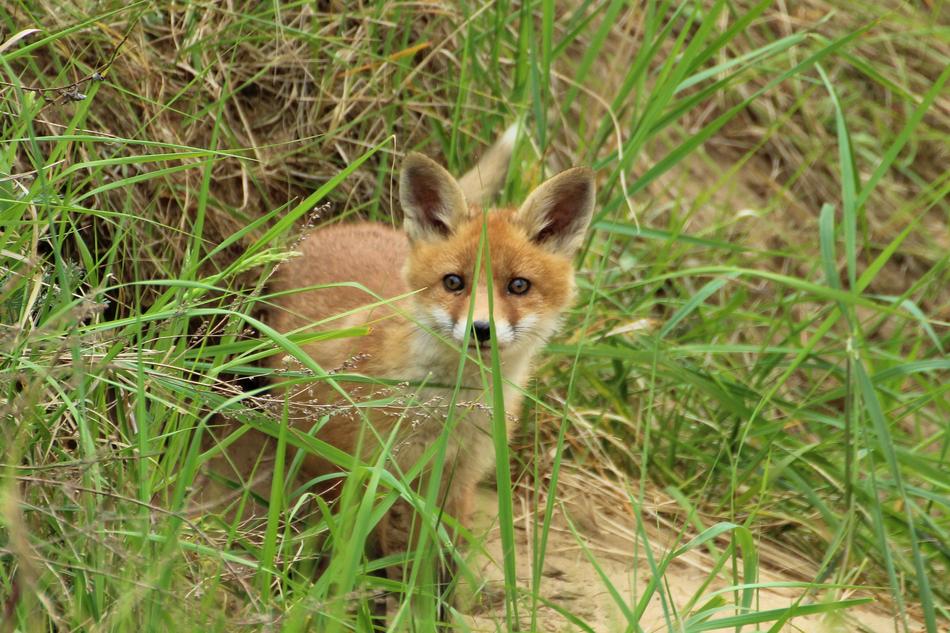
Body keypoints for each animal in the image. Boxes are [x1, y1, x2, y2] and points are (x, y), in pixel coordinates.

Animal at [262, 127, 595, 584]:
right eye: (454, 282)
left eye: (519, 286)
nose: (481, 329)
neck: (449, 409)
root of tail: (338, 227)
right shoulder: (366, 467)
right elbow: (363, 550)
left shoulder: (459, 476)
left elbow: (443, 563)